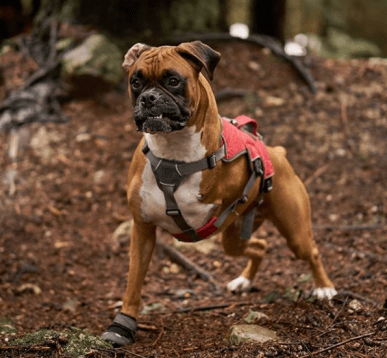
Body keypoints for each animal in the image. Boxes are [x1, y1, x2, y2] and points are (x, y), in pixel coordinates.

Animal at [102, 40, 336, 346]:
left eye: (173, 81)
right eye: (136, 82)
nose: (149, 98)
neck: (173, 152)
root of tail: (277, 153)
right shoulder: (142, 230)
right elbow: (134, 281)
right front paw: (122, 325)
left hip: (294, 233)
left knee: (312, 253)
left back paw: (324, 288)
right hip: (233, 239)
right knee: (260, 246)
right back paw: (245, 280)